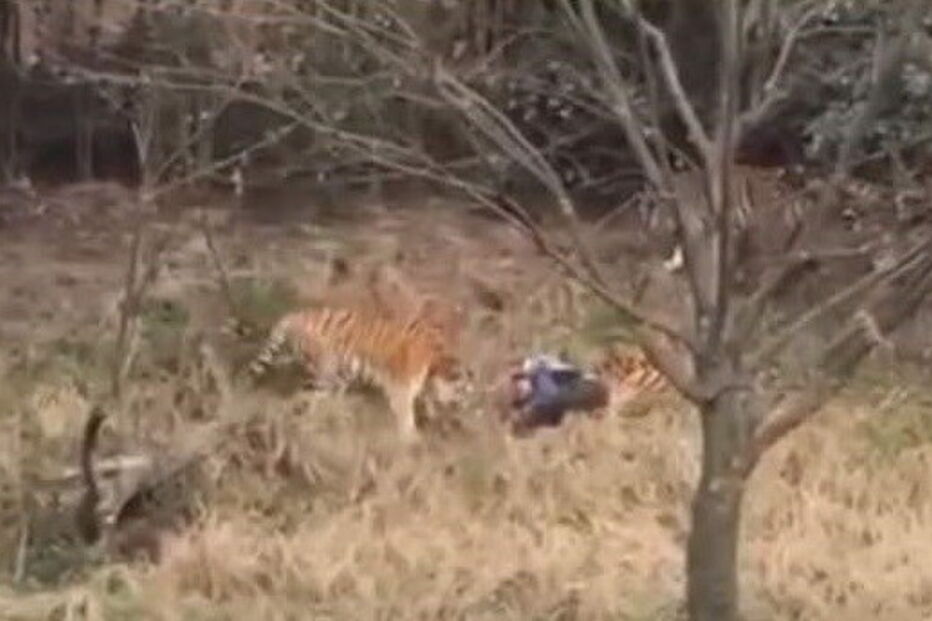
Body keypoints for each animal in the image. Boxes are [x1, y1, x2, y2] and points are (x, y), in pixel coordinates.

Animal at [246, 303, 473, 442]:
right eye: (462, 391)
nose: (465, 407)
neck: (435, 363)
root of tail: (295, 316)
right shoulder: (400, 388)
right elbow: (406, 415)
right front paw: (410, 438)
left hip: (339, 375)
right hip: (326, 370)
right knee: (306, 397)